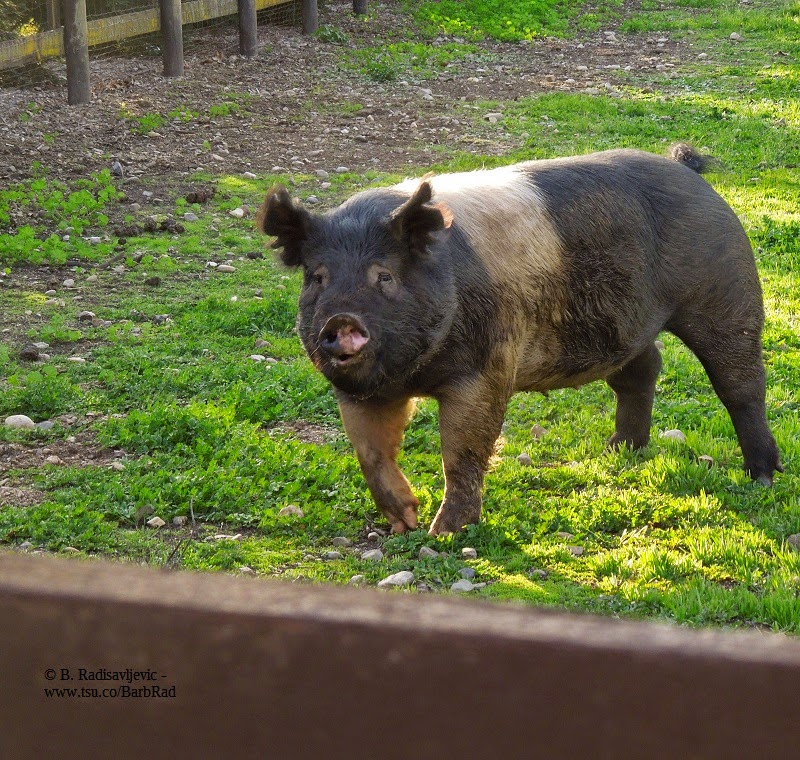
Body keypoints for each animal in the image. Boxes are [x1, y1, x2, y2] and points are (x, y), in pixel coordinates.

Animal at [260, 144, 780, 536]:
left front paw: (444, 535)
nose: (340, 320)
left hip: (727, 289)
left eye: (384, 276)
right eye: (317, 277)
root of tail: (689, 171)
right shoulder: (359, 391)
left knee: (742, 383)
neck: (413, 374)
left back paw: (761, 476)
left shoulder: (485, 370)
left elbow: (463, 451)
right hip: (621, 324)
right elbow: (370, 454)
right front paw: (404, 523)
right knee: (643, 367)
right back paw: (616, 451)